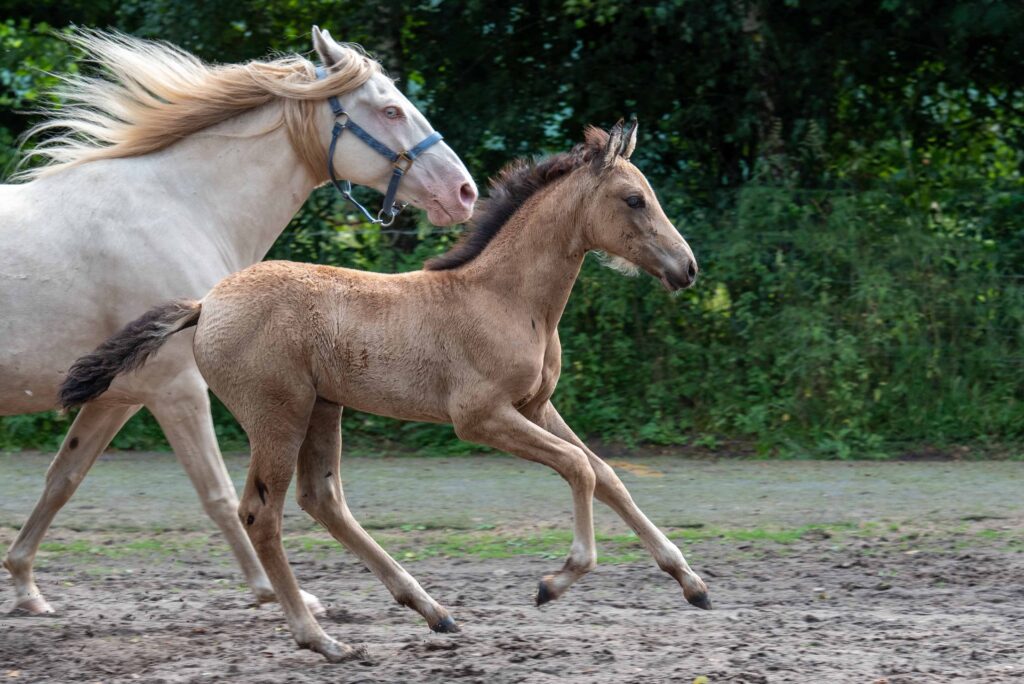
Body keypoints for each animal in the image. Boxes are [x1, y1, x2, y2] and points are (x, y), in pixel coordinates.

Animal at [0, 25, 479, 614]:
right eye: (390, 109)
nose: (464, 191)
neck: (182, 209)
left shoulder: (119, 397)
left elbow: (62, 479)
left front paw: (25, 585)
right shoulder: (178, 390)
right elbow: (220, 494)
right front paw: (277, 593)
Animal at [61, 118, 704, 663]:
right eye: (633, 199)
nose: (688, 268)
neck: (505, 298)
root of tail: (205, 304)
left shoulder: (534, 405)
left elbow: (608, 473)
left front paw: (693, 583)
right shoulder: (481, 417)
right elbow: (579, 468)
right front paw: (555, 581)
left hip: (323, 408)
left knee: (321, 499)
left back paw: (432, 611)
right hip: (278, 414)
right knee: (261, 514)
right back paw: (322, 639)